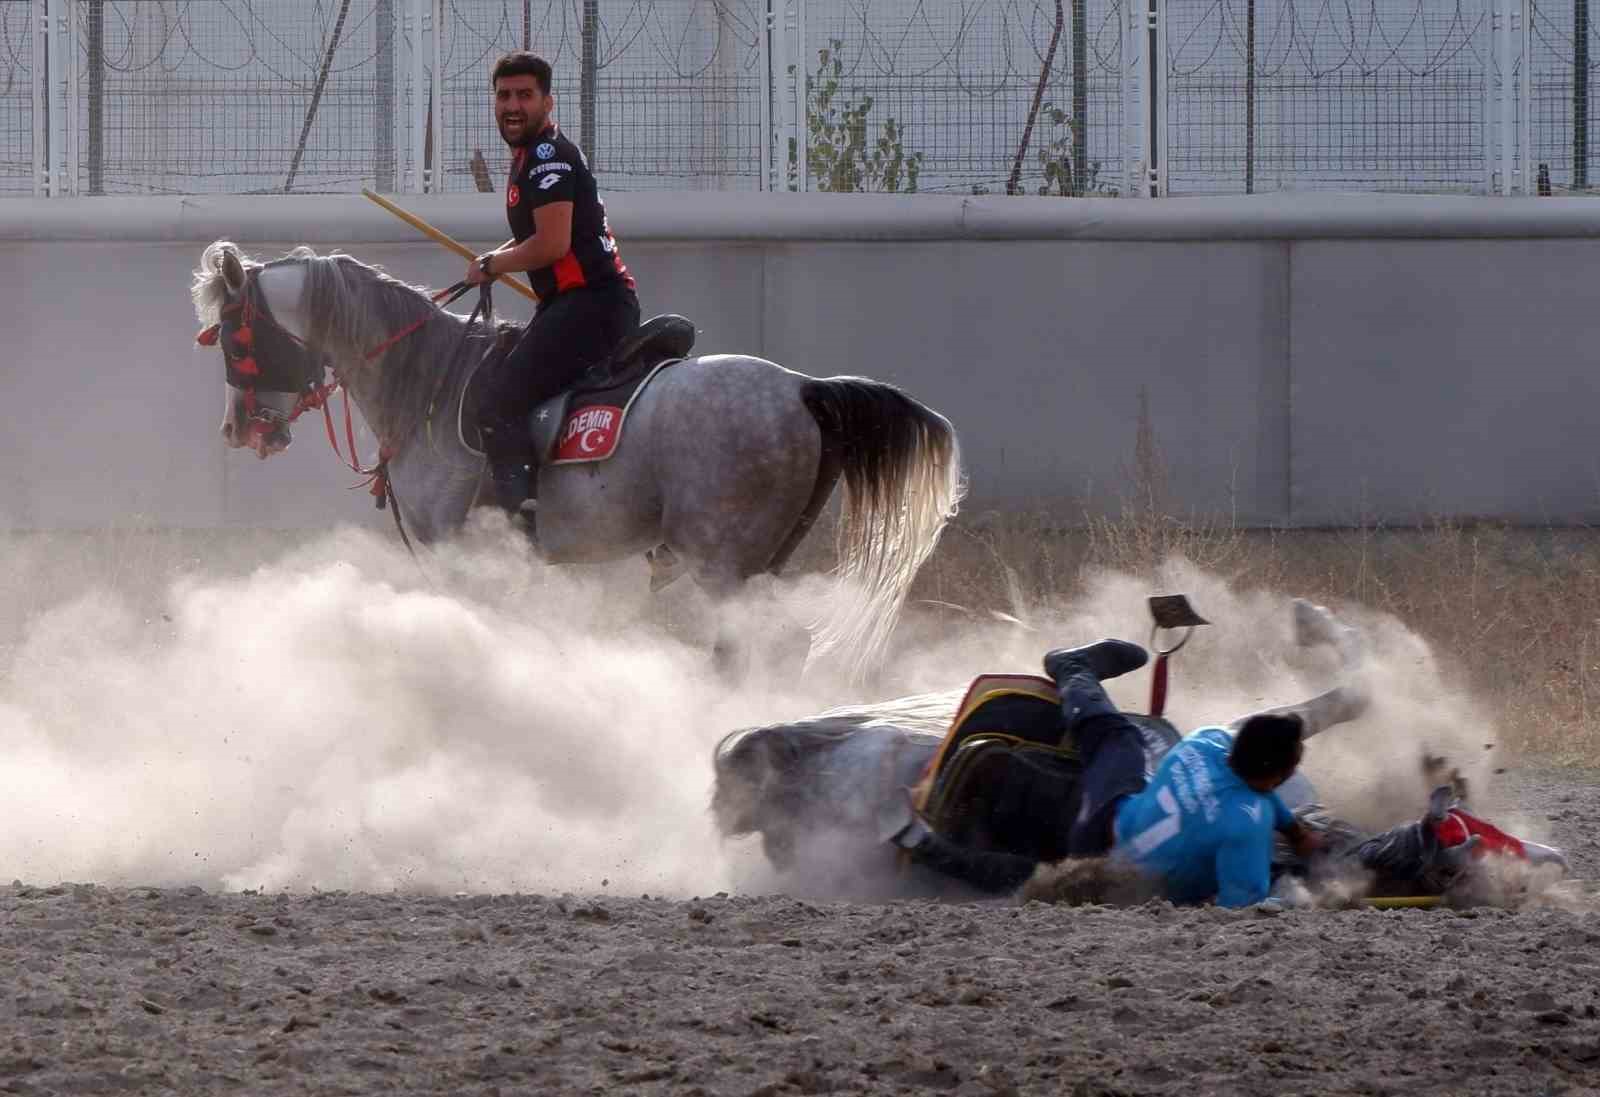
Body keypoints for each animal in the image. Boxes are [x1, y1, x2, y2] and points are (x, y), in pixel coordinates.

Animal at [187, 243, 960, 671]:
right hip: (763, 562)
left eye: (234, 334)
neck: (431, 382)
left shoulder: (454, 554)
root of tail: (804, 388)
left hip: (724, 563)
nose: (235, 428)